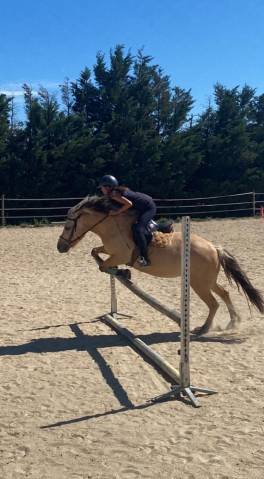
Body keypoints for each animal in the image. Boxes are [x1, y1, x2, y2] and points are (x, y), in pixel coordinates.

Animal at [56, 197, 262, 336]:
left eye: (67, 227)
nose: (60, 247)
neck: (113, 227)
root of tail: (214, 247)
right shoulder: (110, 250)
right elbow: (95, 252)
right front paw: (122, 271)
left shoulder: (121, 255)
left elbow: (104, 265)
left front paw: (124, 272)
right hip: (207, 280)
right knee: (225, 293)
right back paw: (232, 323)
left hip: (198, 283)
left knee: (214, 303)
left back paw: (203, 329)